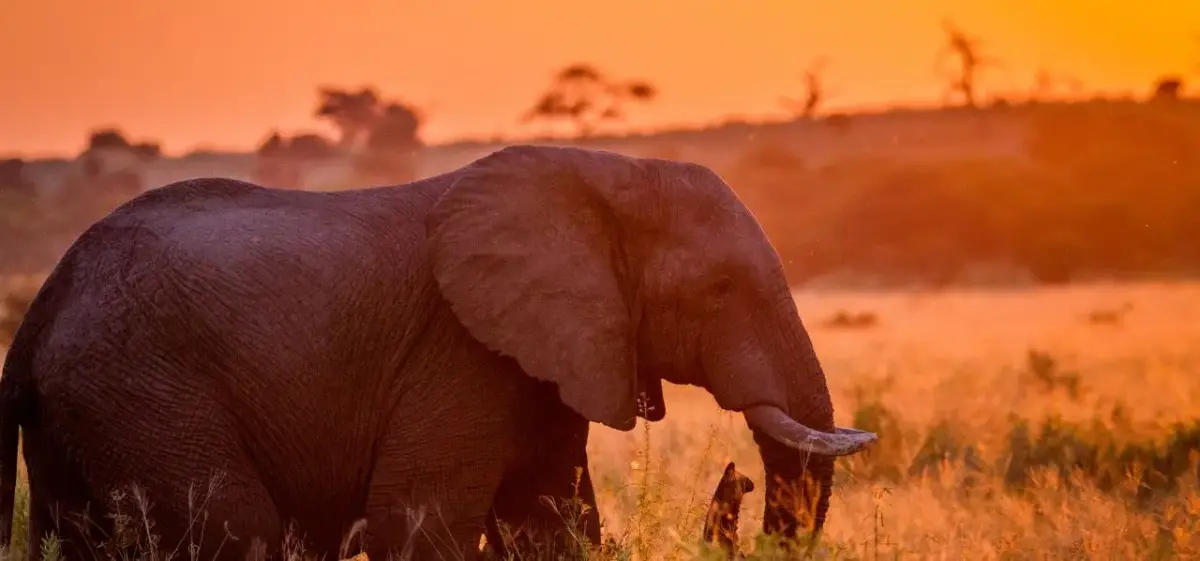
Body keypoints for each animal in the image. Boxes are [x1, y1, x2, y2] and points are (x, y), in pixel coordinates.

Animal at [0, 144, 876, 560]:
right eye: (721, 287)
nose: (737, 479)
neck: (604, 173)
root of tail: (42, 308)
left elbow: (547, 526)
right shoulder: (458, 352)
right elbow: (418, 528)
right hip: (143, 388)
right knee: (238, 530)